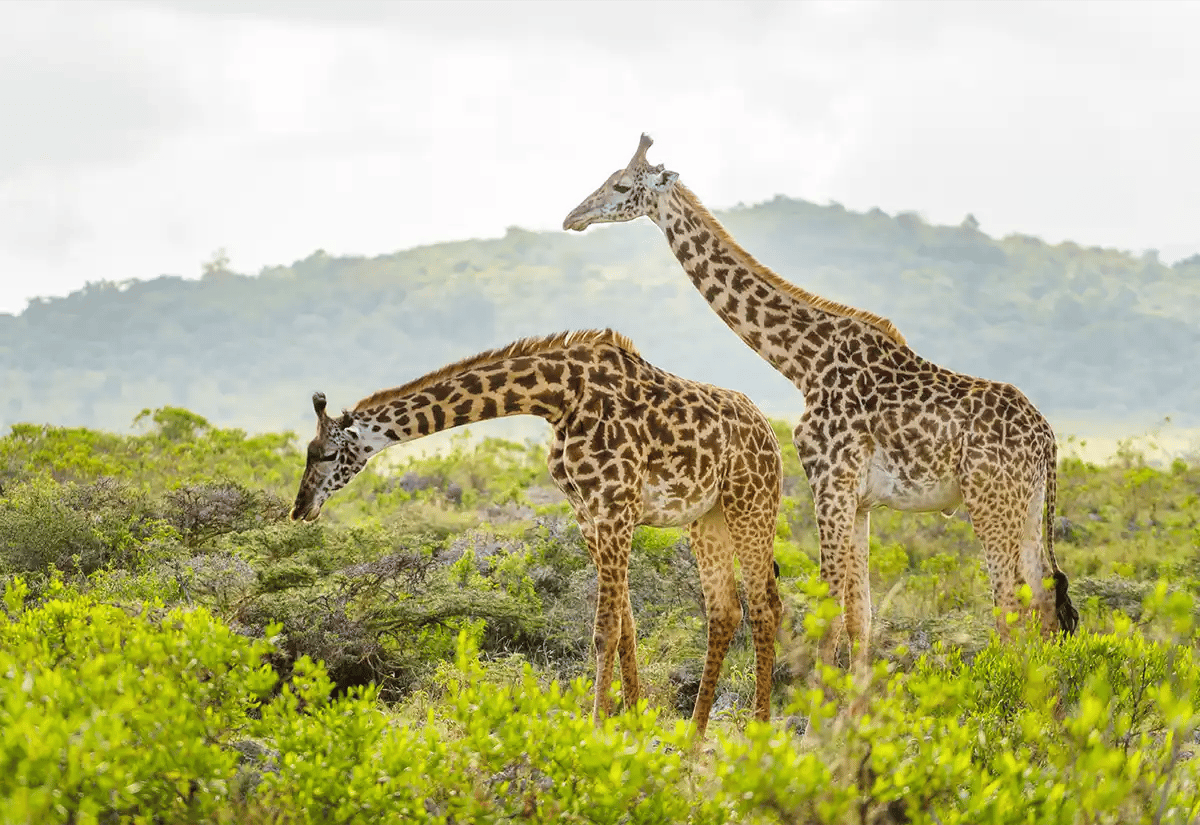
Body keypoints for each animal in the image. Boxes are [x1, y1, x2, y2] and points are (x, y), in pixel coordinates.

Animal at [289, 329, 783, 738]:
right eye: (309, 451)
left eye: (327, 453)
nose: (300, 507)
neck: (559, 396)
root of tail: (770, 433)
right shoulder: (589, 513)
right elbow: (626, 625)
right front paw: (634, 724)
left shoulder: (614, 506)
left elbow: (605, 628)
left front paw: (598, 729)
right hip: (708, 516)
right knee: (726, 610)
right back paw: (695, 738)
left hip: (751, 502)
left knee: (764, 607)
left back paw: (758, 733)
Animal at [563, 135, 1078, 680]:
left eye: (621, 185)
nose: (574, 216)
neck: (804, 362)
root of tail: (1047, 440)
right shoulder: (860, 499)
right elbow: (860, 614)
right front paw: (853, 697)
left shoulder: (829, 481)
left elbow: (830, 608)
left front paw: (820, 703)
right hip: (1027, 507)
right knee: (1045, 599)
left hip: (990, 502)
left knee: (1010, 604)